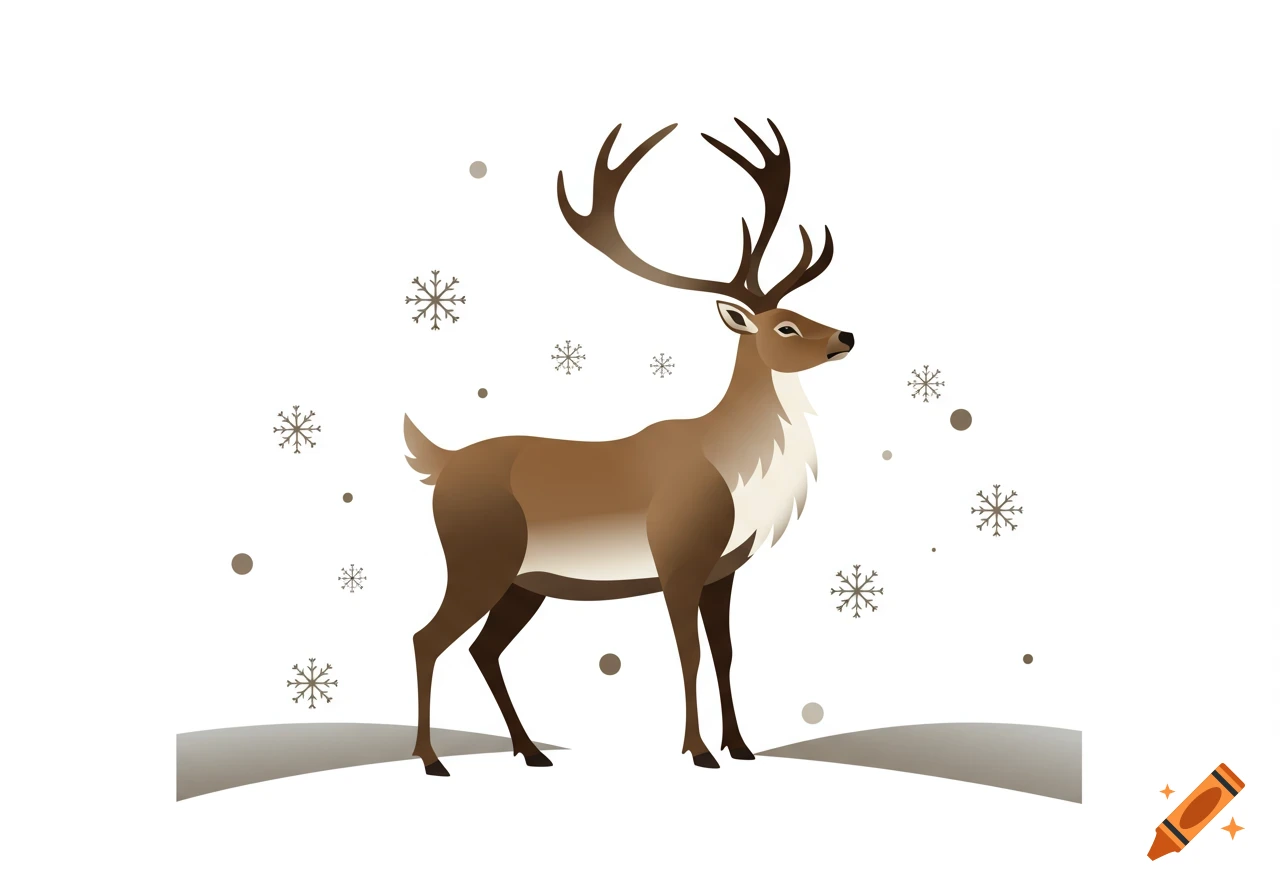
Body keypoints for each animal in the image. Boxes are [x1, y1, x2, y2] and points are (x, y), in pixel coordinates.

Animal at [404, 119, 853, 775]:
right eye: (785, 326)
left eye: (801, 309)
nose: (847, 335)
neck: (738, 470)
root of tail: (438, 464)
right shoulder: (678, 557)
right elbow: (689, 653)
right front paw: (699, 752)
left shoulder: (724, 569)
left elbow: (726, 653)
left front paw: (741, 746)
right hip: (477, 558)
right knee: (426, 638)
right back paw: (432, 759)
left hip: (526, 581)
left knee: (483, 650)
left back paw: (531, 751)